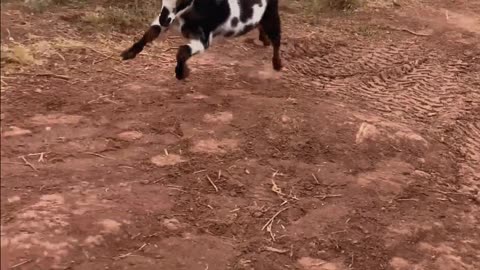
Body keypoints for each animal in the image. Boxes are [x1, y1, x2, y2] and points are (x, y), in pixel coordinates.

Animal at [120, 0, 284, 80]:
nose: (164, 18)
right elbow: (150, 33)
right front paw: (128, 53)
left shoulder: (202, 39)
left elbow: (182, 50)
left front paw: (181, 73)